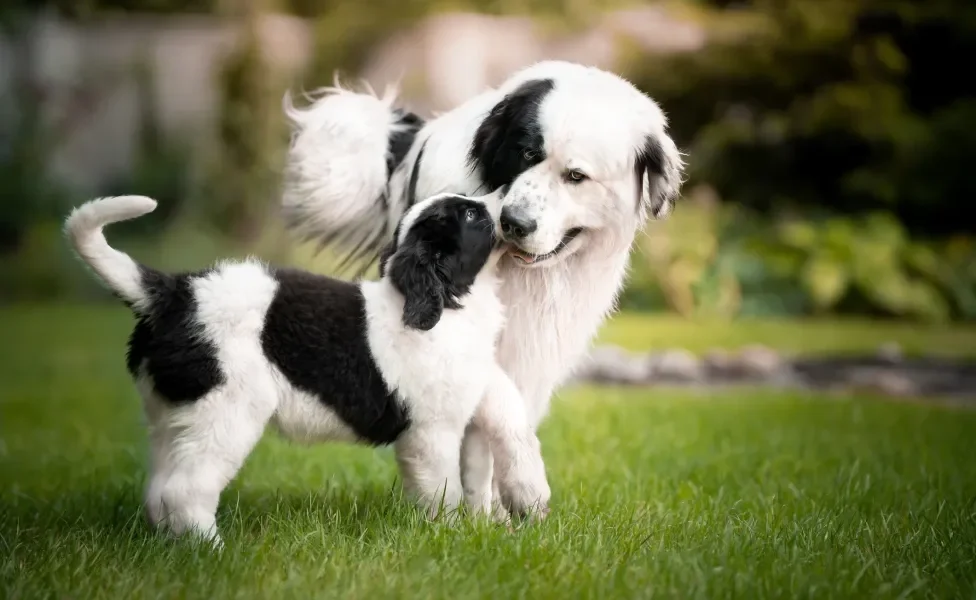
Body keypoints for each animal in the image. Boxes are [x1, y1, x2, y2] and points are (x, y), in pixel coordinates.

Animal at [66, 192, 552, 544]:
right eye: (470, 215)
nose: (509, 206)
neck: (449, 303)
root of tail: (172, 294)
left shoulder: (475, 380)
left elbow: (508, 414)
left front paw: (526, 496)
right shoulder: (431, 430)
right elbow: (442, 488)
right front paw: (449, 534)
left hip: (175, 418)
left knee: (159, 490)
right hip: (225, 412)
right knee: (184, 490)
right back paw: (211, 550)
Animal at [280, 62, 680, 520]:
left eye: (576, 177)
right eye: (526, 155)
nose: (514, 223)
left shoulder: (533, 352)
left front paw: (500, 509)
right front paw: (483, 513)